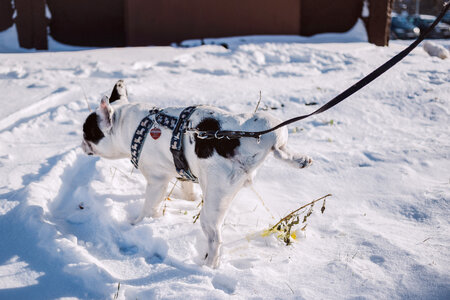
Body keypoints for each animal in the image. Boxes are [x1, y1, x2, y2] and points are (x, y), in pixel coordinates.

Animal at [81, 79, 312, 268]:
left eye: (87, 132)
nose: (81, 142)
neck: (133, 125)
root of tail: (240, 141)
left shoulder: (156, 180)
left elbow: (148, 207)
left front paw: (136, 224)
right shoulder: (182, 169)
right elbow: (187, 188)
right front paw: (188, 198)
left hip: (214, 202)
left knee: (215, 237)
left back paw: (207, 265)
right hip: (270, 123)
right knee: (280, 147)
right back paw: (300, 160)